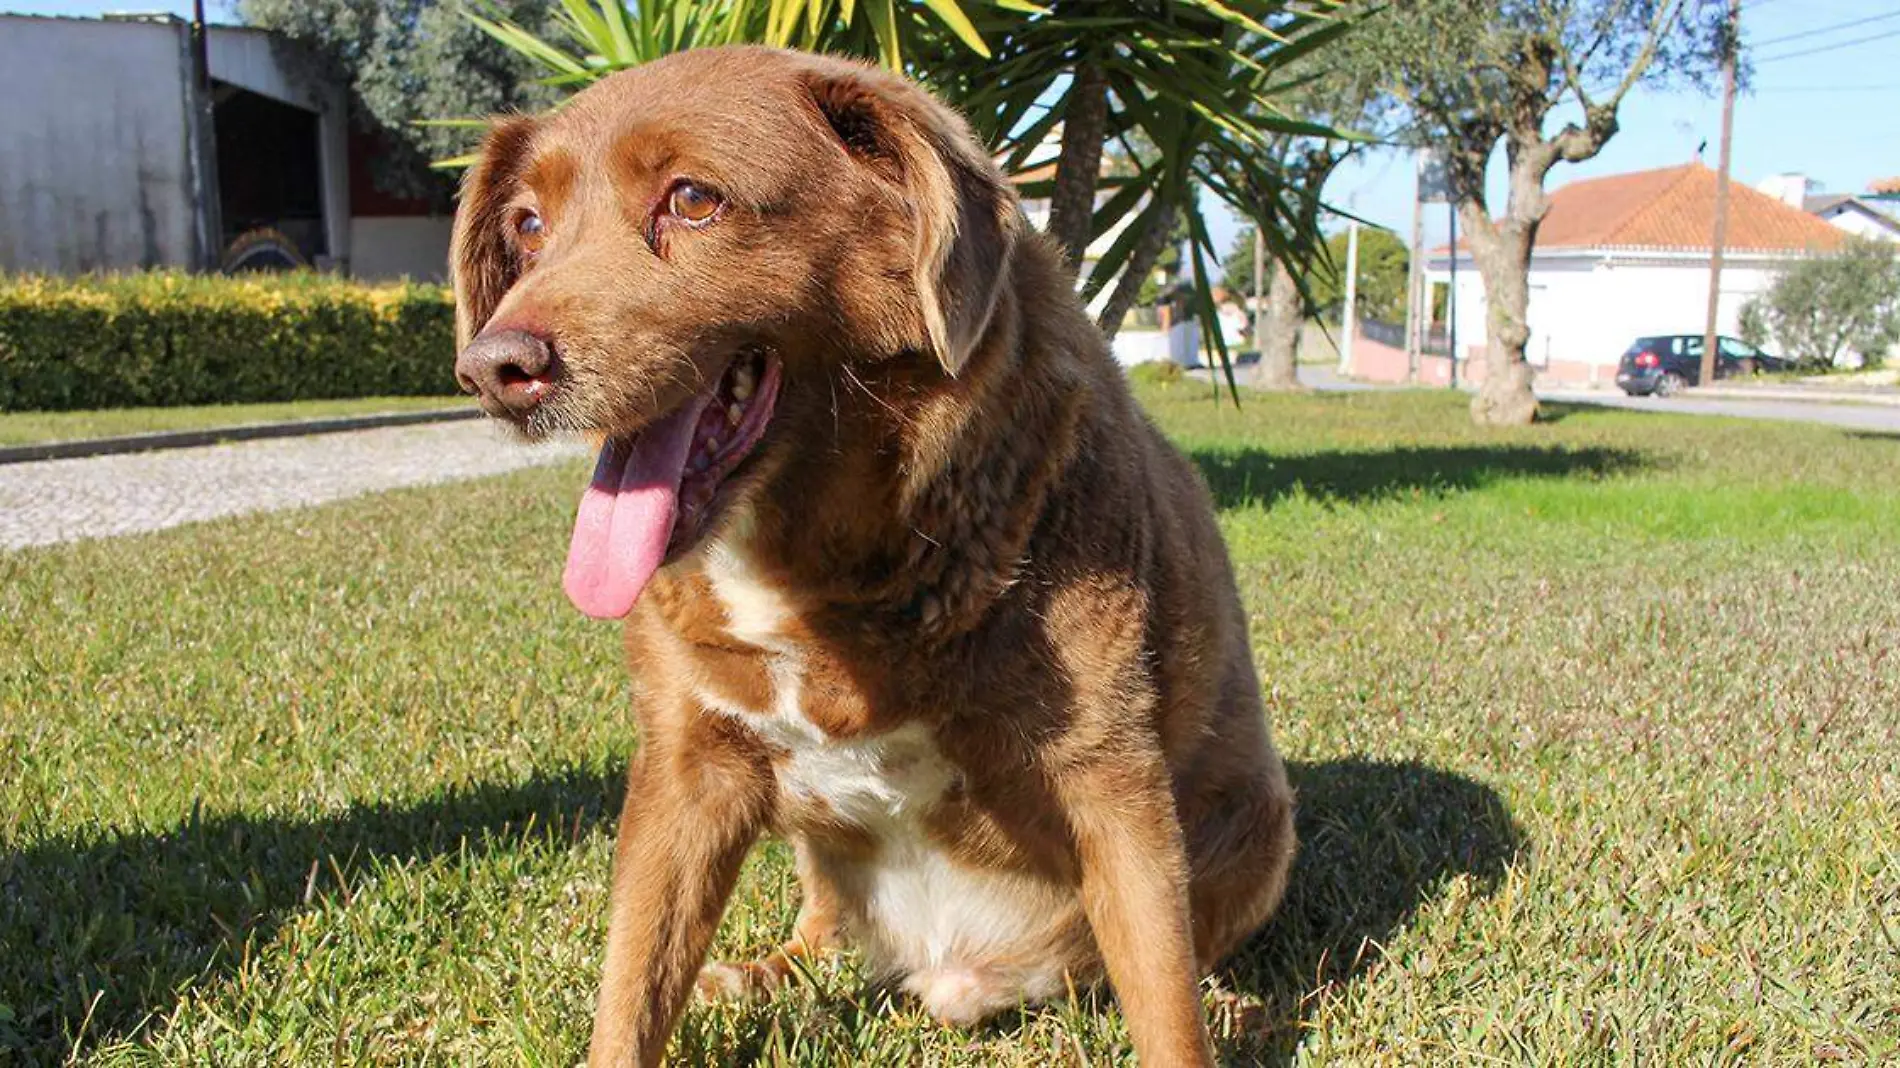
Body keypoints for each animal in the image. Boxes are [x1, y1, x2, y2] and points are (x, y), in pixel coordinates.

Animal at [452, 45, 1299, 1056]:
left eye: (692, 199)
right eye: (529, 225)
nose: (493, 369)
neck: (817, 567)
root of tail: (950, 964)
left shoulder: (1111, 778)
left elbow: (1165, 1008)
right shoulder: (686, 769)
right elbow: (629, 991)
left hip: (1260, 829)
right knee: (817, 933)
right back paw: (755, 976)